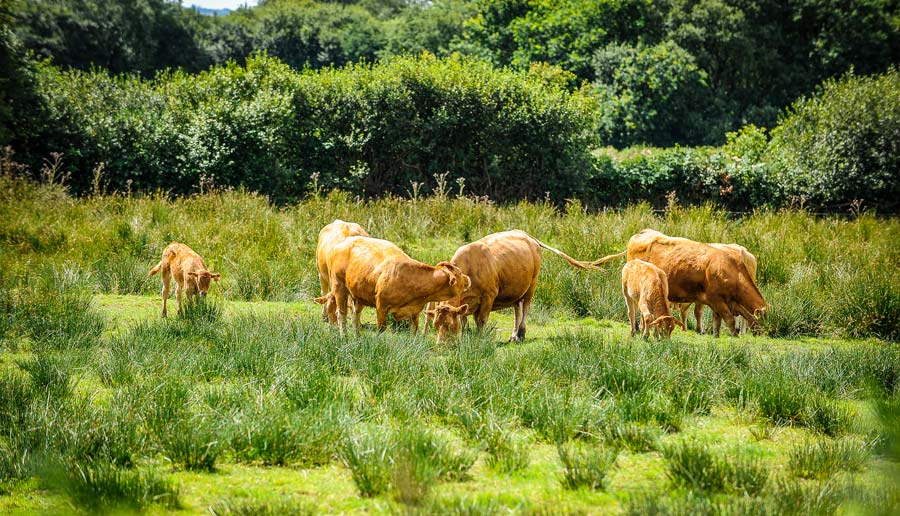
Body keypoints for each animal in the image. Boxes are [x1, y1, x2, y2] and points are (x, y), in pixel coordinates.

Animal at [322, 235, 472, 332]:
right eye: (459, 273)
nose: (468, 278)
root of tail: (343, 242)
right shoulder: (381, 307)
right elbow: (381, 330)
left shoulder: (414, 312)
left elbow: (414, 332)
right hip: (339, 287)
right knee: (341, 315)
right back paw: (344, 336)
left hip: (357, 295)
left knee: (355, 316)